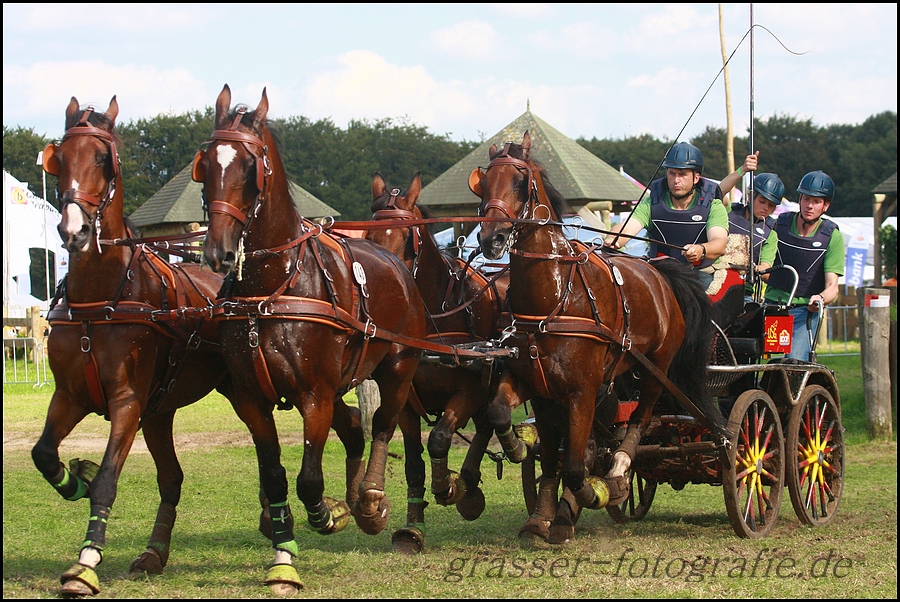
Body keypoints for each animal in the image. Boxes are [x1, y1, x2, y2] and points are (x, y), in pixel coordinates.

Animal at [33, 96, 239, 592]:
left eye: (103, 160)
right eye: (59, 159)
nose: (74, 230)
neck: (99, 303)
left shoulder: (126, 400)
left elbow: (109, 477)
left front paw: (87, 560)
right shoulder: (70, 395)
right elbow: (43, 453)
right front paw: (75, 481)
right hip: (158, 412)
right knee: (172, 477)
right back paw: (154, 552)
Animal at [193, 84, 426, 584]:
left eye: (250, 166)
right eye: (206, 164)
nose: (218, 250)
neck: (273, 285)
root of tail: (395, 264)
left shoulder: (314, 393)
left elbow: (308, 480)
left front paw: (327, 513)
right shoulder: (250, 398)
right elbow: (276, 475)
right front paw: (282, 548)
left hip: (399, 366)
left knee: (383, 423)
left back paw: (370, 499)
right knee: (355, 426)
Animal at [366, 171, 532, 552]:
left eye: (406, 239)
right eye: (367, 236)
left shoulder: (469, 391)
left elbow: (440, 437)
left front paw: (450, 486)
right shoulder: (405, 402)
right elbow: (414, 463)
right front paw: (412, 529)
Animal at [468, 131, 728, 544]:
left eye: (520, 182)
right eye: (483, 182)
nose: (492, 238)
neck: (555, 297)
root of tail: (659, 271)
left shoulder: (582, 392)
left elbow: (576, 466)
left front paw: (588, 498)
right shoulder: (535, 386)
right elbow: (515, 427)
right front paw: (526, 472)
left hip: (656, 369)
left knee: (640, 418)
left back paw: (619, 470)